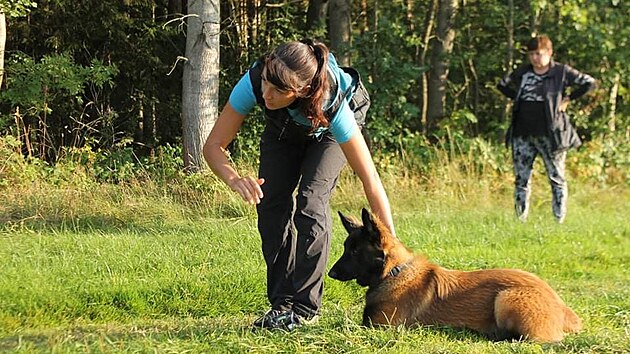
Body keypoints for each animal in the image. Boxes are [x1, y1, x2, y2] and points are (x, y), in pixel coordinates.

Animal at [328, 209, 584, 342]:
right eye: (346, 247)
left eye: (354, 251)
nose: (330, 273)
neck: (393, 272)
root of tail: (562, 307)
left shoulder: (381, 327)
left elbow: (343, 326)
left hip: (507, 298)